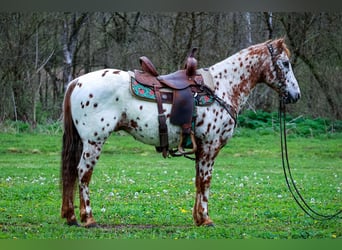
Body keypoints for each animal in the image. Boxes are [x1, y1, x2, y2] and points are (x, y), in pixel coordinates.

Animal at [60, 38, 300, 227]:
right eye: (285, 63)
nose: (295, 95)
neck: (221, 87)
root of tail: (77, 81)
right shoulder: (210, 146)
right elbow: (205, 181)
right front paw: (206, 219)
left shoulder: (201, 148)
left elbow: (198, 181)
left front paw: (198, 218)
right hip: (94, 142)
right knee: (83, 173)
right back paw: (88, 218)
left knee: (71, 172)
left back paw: (71, 216)